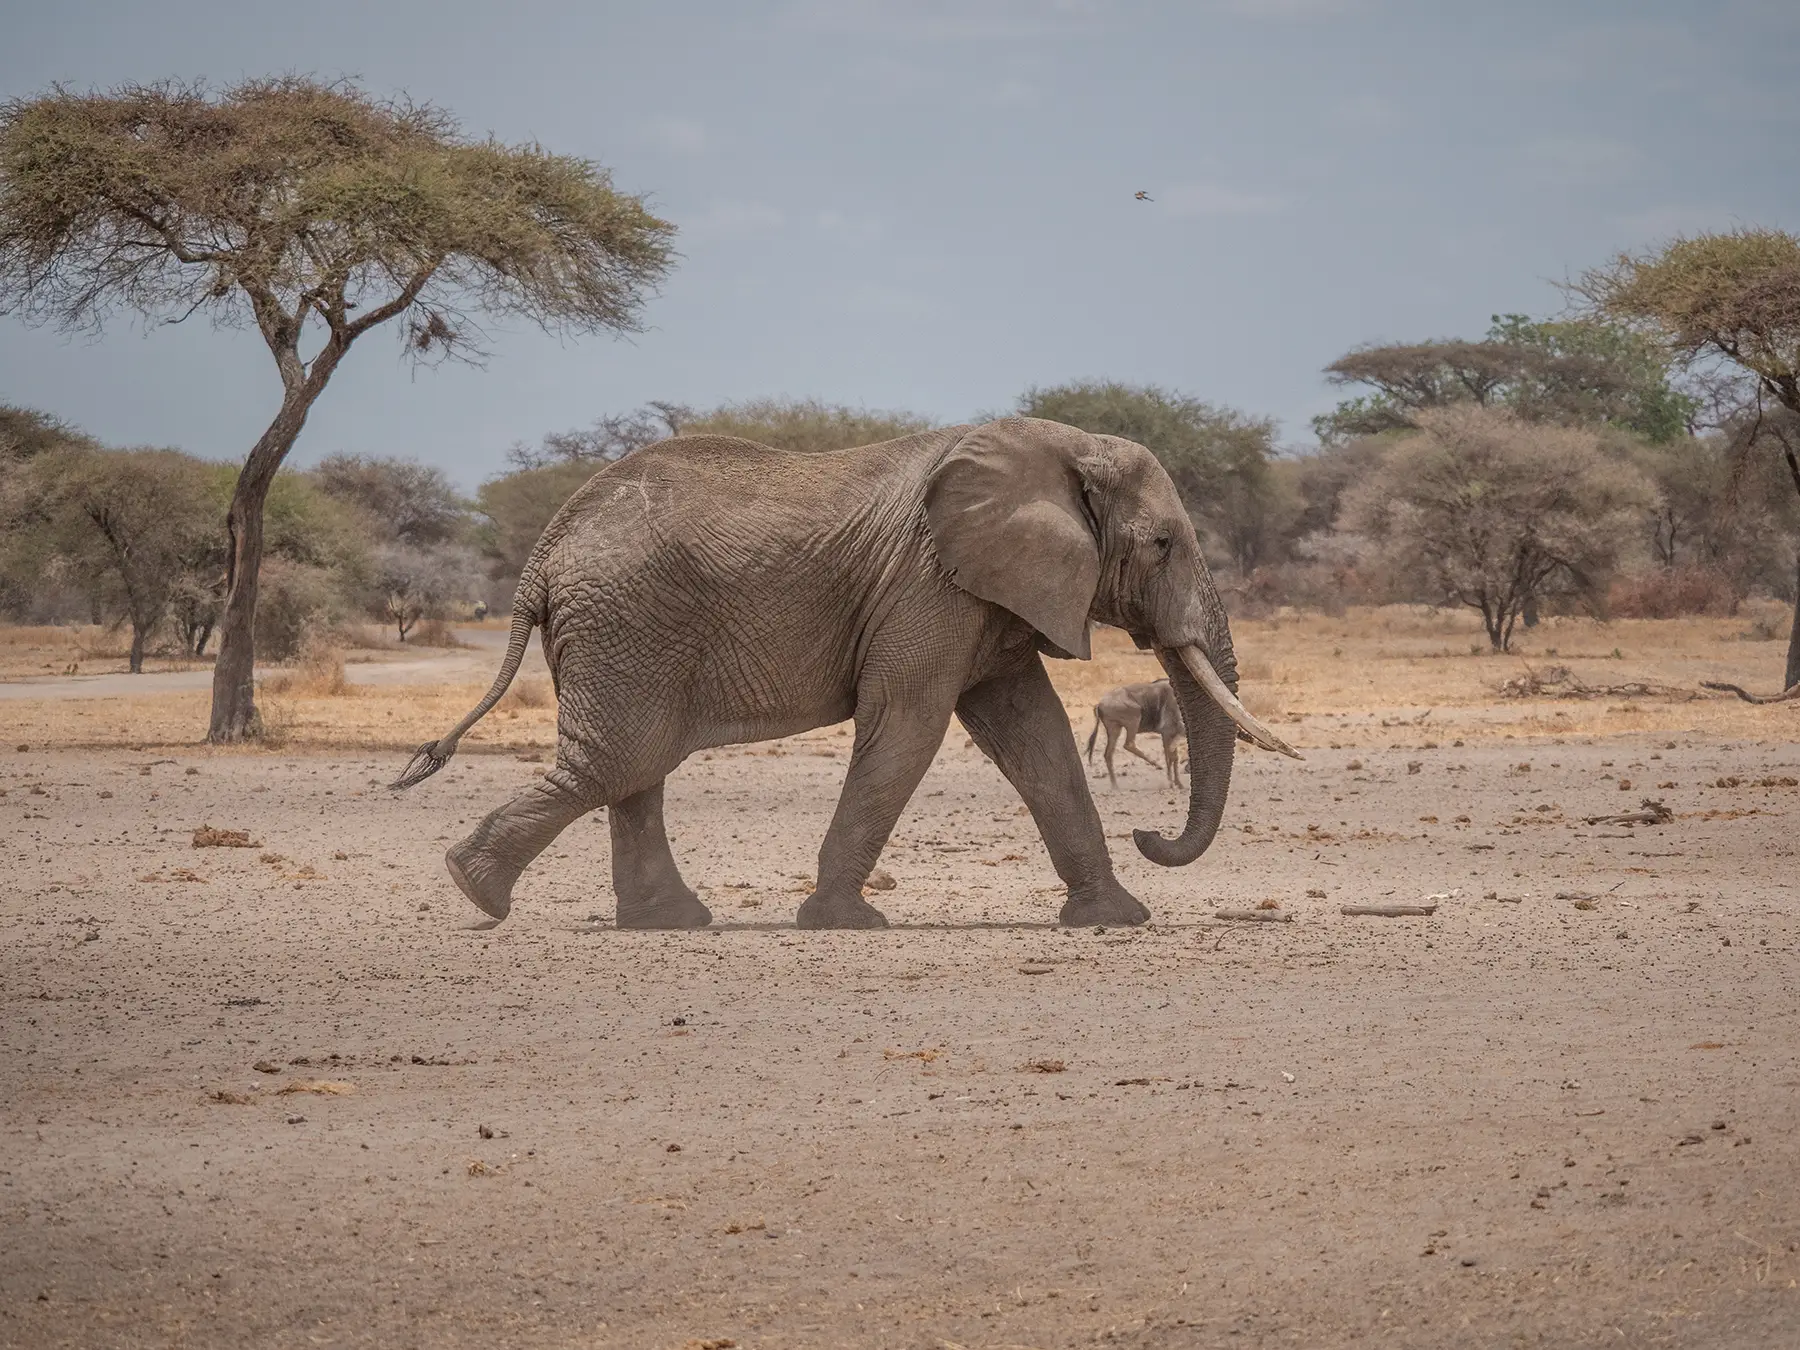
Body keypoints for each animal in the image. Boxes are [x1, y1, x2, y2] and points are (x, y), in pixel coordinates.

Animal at [390, 421, 1296, 928]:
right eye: (1163, 545)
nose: (1152, 834)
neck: (1060, 448)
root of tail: (545, 552)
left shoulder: (983, 594)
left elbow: (1031, 734)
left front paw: (1116, 919)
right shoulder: (930, 586)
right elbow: (908, 726)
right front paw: (845, 922)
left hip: (623, 631)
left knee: (631, 769)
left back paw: (660, 922)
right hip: (625, 622)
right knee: (620, 762)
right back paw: (477, 892)